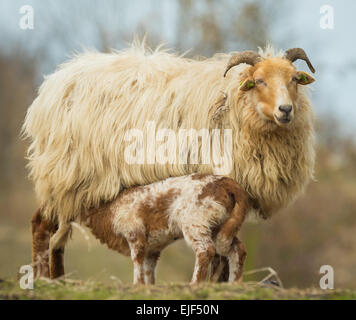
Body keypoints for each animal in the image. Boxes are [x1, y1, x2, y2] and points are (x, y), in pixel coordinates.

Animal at [32, 174, 250, 284]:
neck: (108, 209)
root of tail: (227, 183)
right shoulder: (153, 247)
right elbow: (148, 269)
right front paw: (148, 288)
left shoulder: (134, 233)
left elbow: (137, 261)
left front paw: (136, 285)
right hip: (222, 224)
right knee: (237, 249)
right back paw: (235, 283)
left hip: (196, 221)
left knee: (206, 250)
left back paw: (195, 284)